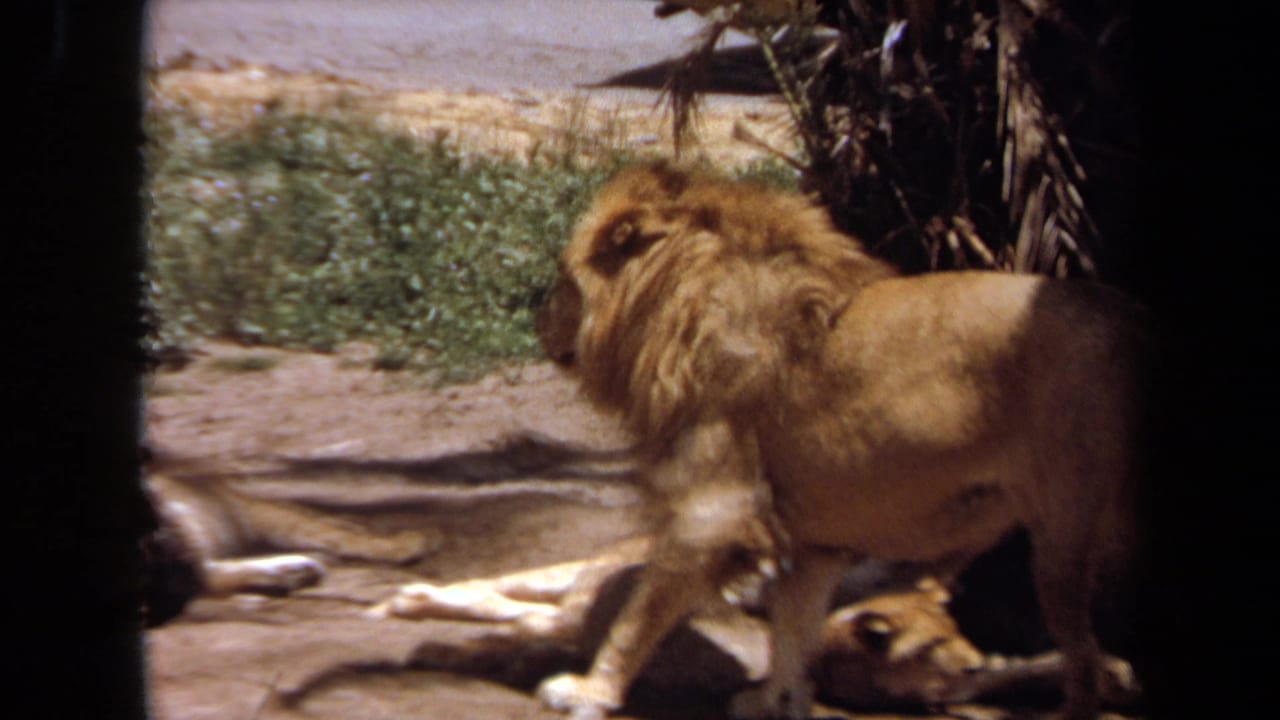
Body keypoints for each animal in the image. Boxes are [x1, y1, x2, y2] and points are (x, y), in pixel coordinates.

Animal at [534, 162, 1146, 720]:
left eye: (563, 275)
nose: (538, 322)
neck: (674, 306)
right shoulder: (814, 542)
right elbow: (793, 629)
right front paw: (775, 701)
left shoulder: (716, 509)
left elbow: (636, 618)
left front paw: (589, 690)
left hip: (1066, 539)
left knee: (1084, 666)